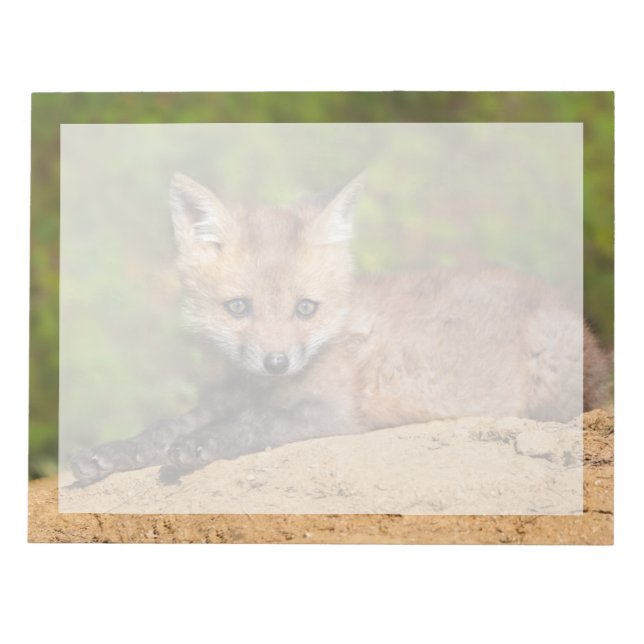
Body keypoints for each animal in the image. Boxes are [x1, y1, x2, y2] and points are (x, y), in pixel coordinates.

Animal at [71, 172, 611, 484]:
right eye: (239, 307)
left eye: (305, 308)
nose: (276, 363)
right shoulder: (229, 395)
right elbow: (165, 427)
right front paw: (114, 452)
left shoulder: (331, 413)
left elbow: (252, 424)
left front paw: (200, 446)